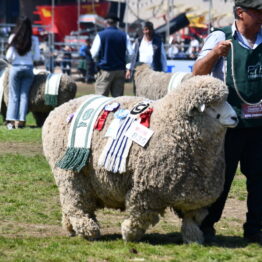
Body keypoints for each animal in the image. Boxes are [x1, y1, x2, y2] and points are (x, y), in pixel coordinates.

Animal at [42, 75, 238, 244]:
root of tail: (58, 110)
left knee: (72, 203)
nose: (235, 117)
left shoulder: (193, 192)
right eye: (211, 105)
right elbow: (141, 215)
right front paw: (129, 234)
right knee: (75, 202)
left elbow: (192, 219)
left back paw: (70, 228)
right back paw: (88, 230)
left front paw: (194, 239)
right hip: (69, 172)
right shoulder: (146, 189)